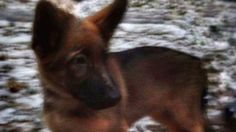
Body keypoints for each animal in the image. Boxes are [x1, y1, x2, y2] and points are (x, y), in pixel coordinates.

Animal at [32, 0, 207, 131]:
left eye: (105, 57)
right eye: (79, 60)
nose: (117, 98)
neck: (69, 104)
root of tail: (197, 61)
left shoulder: (118, 127)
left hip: (185, 117)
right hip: (167, 115)